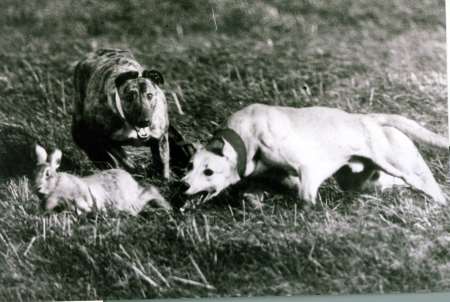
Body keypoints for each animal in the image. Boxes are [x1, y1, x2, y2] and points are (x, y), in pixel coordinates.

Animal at [33, 144, 171, 215]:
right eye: (33, 173)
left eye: (47, 174)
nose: (37, 188)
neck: (56, 185)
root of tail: (130, 179)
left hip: (129, 201)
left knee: (150, 190)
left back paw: (167, 207)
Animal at [72, 48, 192, 178]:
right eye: (129, 97)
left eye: (150, 95)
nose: (144, 121)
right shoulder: (104, 138)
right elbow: (122, 157)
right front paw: (134, 168)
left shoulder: (160, 138)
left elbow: (162, 164)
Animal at [182, 104, 446, 208]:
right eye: (188, 166)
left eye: (208, 171)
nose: (181, 185)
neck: (245, 135)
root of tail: (370, 118)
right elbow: (252, 196)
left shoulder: (308, 167)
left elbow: (306, 198)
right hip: (361, 181)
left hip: (405, 169)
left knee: (430, 187)